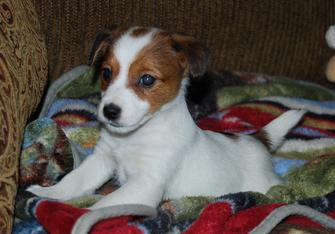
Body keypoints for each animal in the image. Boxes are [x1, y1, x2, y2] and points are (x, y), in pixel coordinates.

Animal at [27, 26, 306, 209]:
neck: (135, 137)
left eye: (147, 79)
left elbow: (102, 206)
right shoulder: (102, 160)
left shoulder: (146, 184)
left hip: (264, 183)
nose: (109, 111)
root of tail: (256, 138)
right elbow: (74, 181)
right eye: (106, 73)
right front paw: (49, 193)